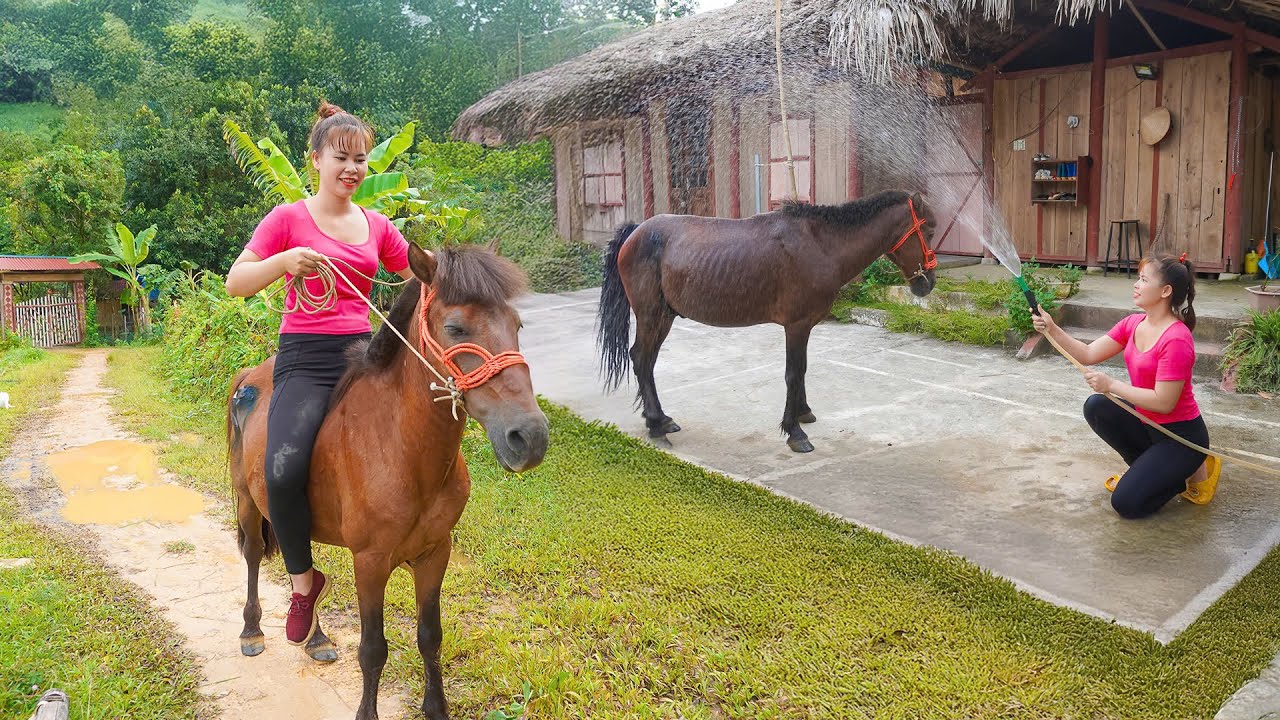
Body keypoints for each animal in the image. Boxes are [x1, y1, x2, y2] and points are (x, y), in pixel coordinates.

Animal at [227, 243, 549, 720]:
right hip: (250, 501)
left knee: (304, 567)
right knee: (253, 554)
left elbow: (430, 636)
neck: (400, 447)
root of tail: (248, 378)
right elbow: (373, 649)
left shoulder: (436, 553)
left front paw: (436, 708)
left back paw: (315, 637)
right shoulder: (371, 562)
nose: (530, 437)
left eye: (517, 325)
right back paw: (252, 630)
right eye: (455, 328)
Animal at [596, 190, 939, 453]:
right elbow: (793, 373)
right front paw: (794, 432)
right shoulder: (796, 325)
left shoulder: (806, 326)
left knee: (646, 360)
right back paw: (656, 426)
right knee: (641, 358)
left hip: (664, 316)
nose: (928, 283)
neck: (820, 244)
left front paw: (803, 412)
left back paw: (661, 419)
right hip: (650, 314)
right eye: (929, 231)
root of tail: (636, 231)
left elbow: (802, 370)